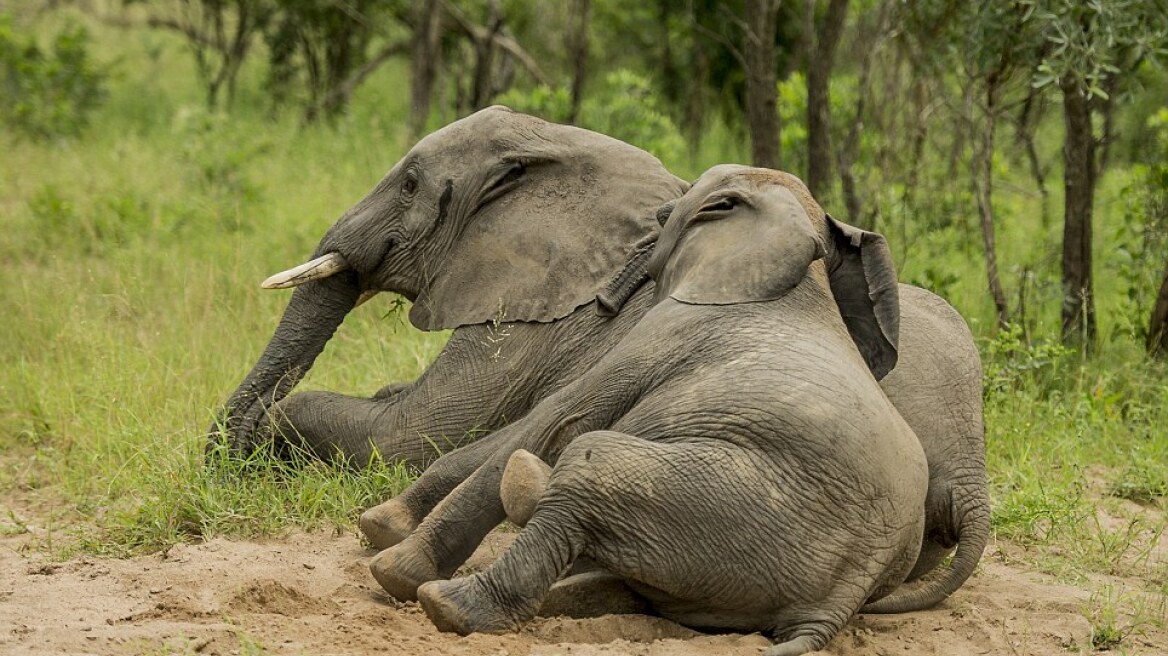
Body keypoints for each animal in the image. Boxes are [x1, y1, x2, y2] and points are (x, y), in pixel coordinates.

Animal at [212, 106, 985, 602]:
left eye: (408, 185)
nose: (220, 467)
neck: (561, 149)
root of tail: (972, 477)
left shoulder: (544, 312)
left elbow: (407, 433)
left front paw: (266, 435)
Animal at [392, 164, 929, 653]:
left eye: (671, 211)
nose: (604, 302)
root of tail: (836, 606)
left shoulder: (669, 329)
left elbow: (560, 415)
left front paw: (393, 566)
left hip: (733, 503)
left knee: (589, 464)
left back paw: (446, 603)